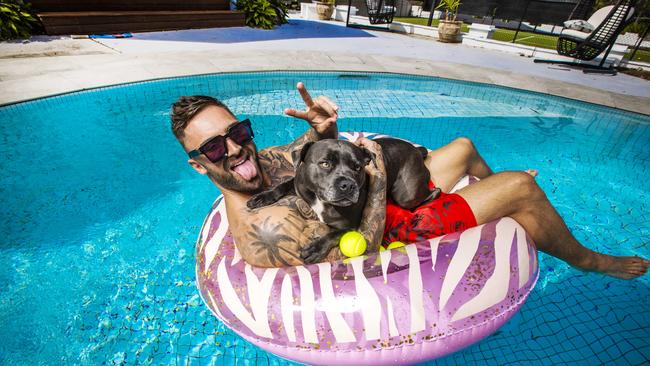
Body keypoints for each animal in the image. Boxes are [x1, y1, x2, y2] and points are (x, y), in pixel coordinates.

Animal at [246, 138, 438, 264]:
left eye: (357, 167)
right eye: (325, 163)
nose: (348, 185)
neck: (321, 199)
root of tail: (416, 150)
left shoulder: (352, 226)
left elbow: (334, 233)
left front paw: (315, 248)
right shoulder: (299, 184)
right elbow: (283, 185)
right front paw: (262, 197)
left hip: (405, 195)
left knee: (433, 192)